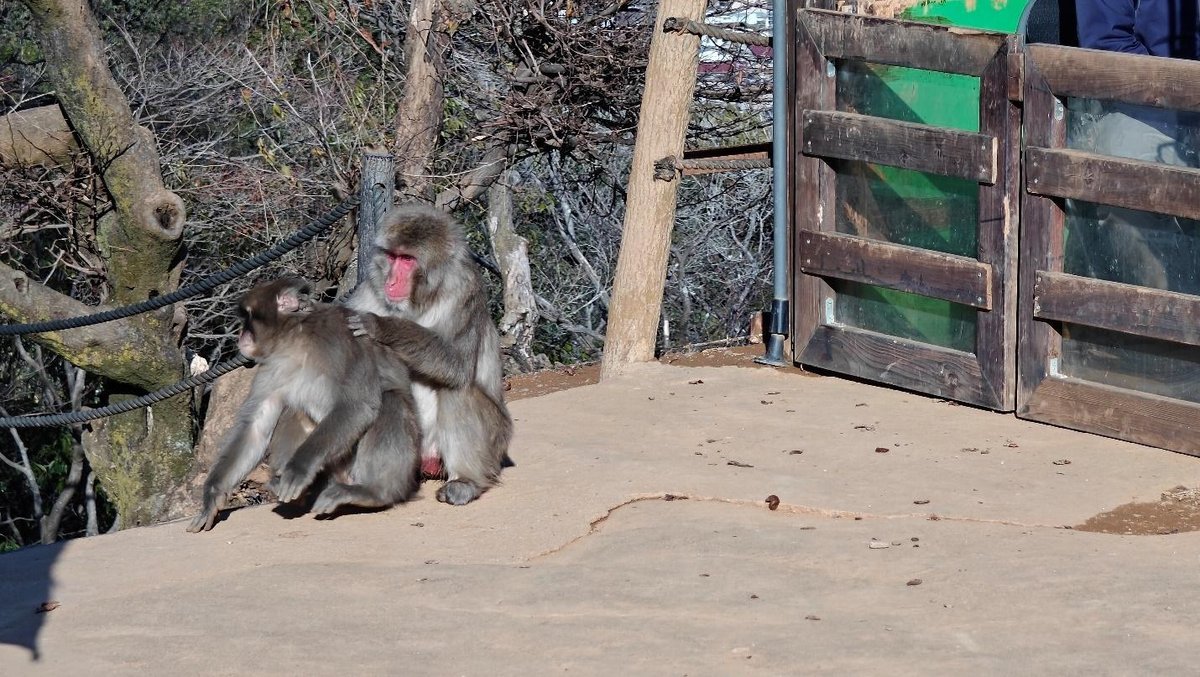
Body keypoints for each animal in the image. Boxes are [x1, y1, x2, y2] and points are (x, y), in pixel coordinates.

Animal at [187, 277, 421, 532]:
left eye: (249, 317)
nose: (241, 334)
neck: (297, 339)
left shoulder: (341, 339)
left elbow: (357, 405)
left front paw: (298, 468)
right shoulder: (273, 366)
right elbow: (255, 427)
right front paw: (212, 496)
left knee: (391, 401)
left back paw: (375, 492)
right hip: (330, 471)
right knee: (294, 410)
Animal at [340, 203, 513, 506]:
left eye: (408, 259)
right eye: (393, 256)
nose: (391, 280)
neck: (419, 301)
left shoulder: (464, 292)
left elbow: (456, 365)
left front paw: (381, 327)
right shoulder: (370, 287)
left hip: (495, 441)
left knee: (457, 387)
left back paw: (465, 481)